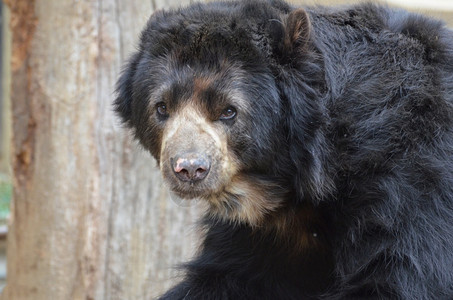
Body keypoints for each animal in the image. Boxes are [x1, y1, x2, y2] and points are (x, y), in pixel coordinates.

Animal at [114, 0, 452, 298]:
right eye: (161, 108)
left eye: (229, 111)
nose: (189, 169)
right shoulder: (265, 234)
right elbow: (230, 274)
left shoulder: (410, 175)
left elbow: (397, 273)